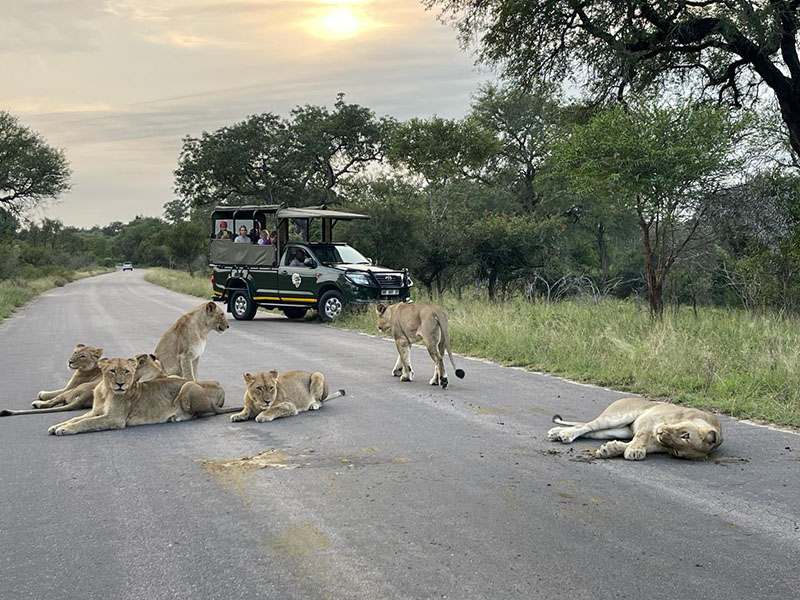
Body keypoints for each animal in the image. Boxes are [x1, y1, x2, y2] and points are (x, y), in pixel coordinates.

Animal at [48, 357, 229, 436]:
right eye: (112, 371)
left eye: (127, 371)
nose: (120, 384)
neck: (106, 391)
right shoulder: (95, 411)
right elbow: (76, 418)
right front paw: (57, 426)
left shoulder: (115, 419)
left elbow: (86, 423)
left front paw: (65, 429)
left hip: (188, 385)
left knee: (197, 413)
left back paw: (176, 416)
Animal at [547, 397, 723, 460]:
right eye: (685, 435)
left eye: (677, 452)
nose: (660, 433)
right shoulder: (649, 419)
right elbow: (641, 437)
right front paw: (635, 451)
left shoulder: (658, 443)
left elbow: (636, 444)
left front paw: (610, 449)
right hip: (616, 418)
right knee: (587, 425)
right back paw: (564, 435)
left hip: (618, 430)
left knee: (589, 431)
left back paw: (556, 433)